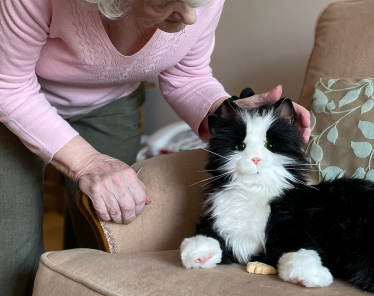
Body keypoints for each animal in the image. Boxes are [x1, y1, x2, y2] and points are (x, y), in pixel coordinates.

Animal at [180, 89, 374, 292]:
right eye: (240, 146)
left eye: (270, 146)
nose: (255, 159)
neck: (253, 189)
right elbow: (208, 235)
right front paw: (198, 253)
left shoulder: (293, 224)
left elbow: (298, 249)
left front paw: (312, 276)